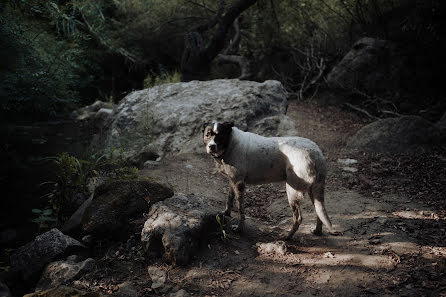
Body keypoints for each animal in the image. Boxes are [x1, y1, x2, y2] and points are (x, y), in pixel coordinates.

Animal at [203, 120, 338, 238]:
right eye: (207, 135)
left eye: (220, 135)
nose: (211, 146)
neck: (230, 143)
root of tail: (316, 153)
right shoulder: (233, 181)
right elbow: (229, 199)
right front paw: (226, 213)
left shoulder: (239, 184)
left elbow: (241, 210)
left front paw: (240, 229)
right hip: (313, 191)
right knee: (318, 212)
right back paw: (317, 231)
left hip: (292, 192)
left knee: (298, 218)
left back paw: (287, 237)